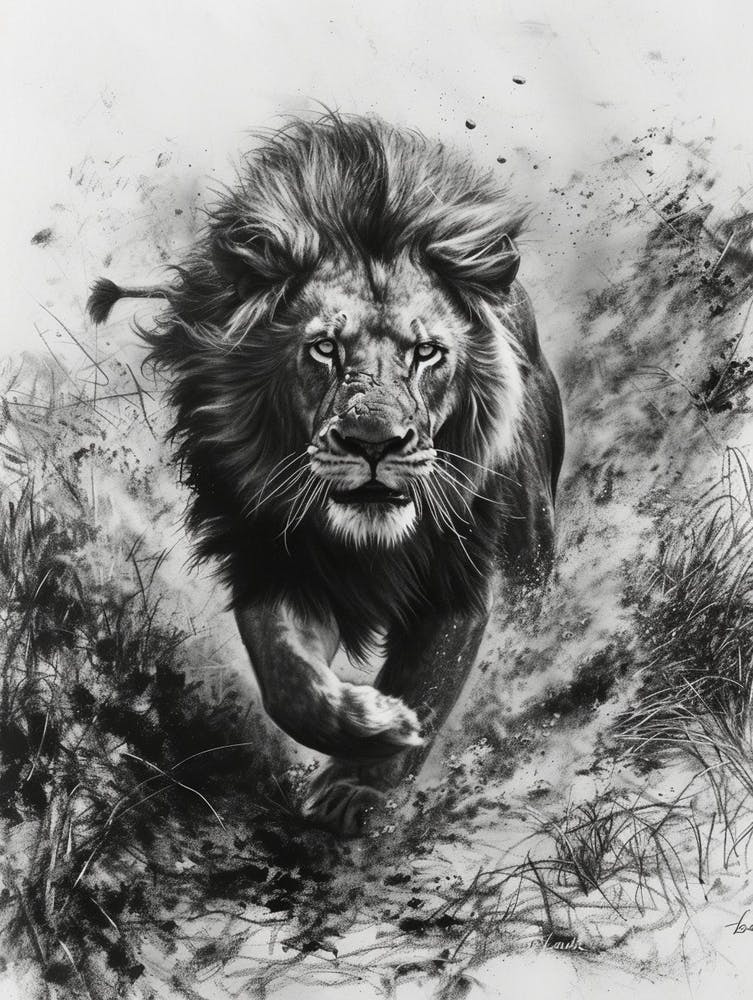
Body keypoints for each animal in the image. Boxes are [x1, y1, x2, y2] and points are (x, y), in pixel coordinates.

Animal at [87, 113, 565, 835]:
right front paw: (371, 723)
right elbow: (286, 678)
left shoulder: (458, 577)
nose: (373, 443)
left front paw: (362, 788)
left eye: (427, 353)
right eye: (323, 348)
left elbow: (429, 680)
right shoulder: (272, 555)